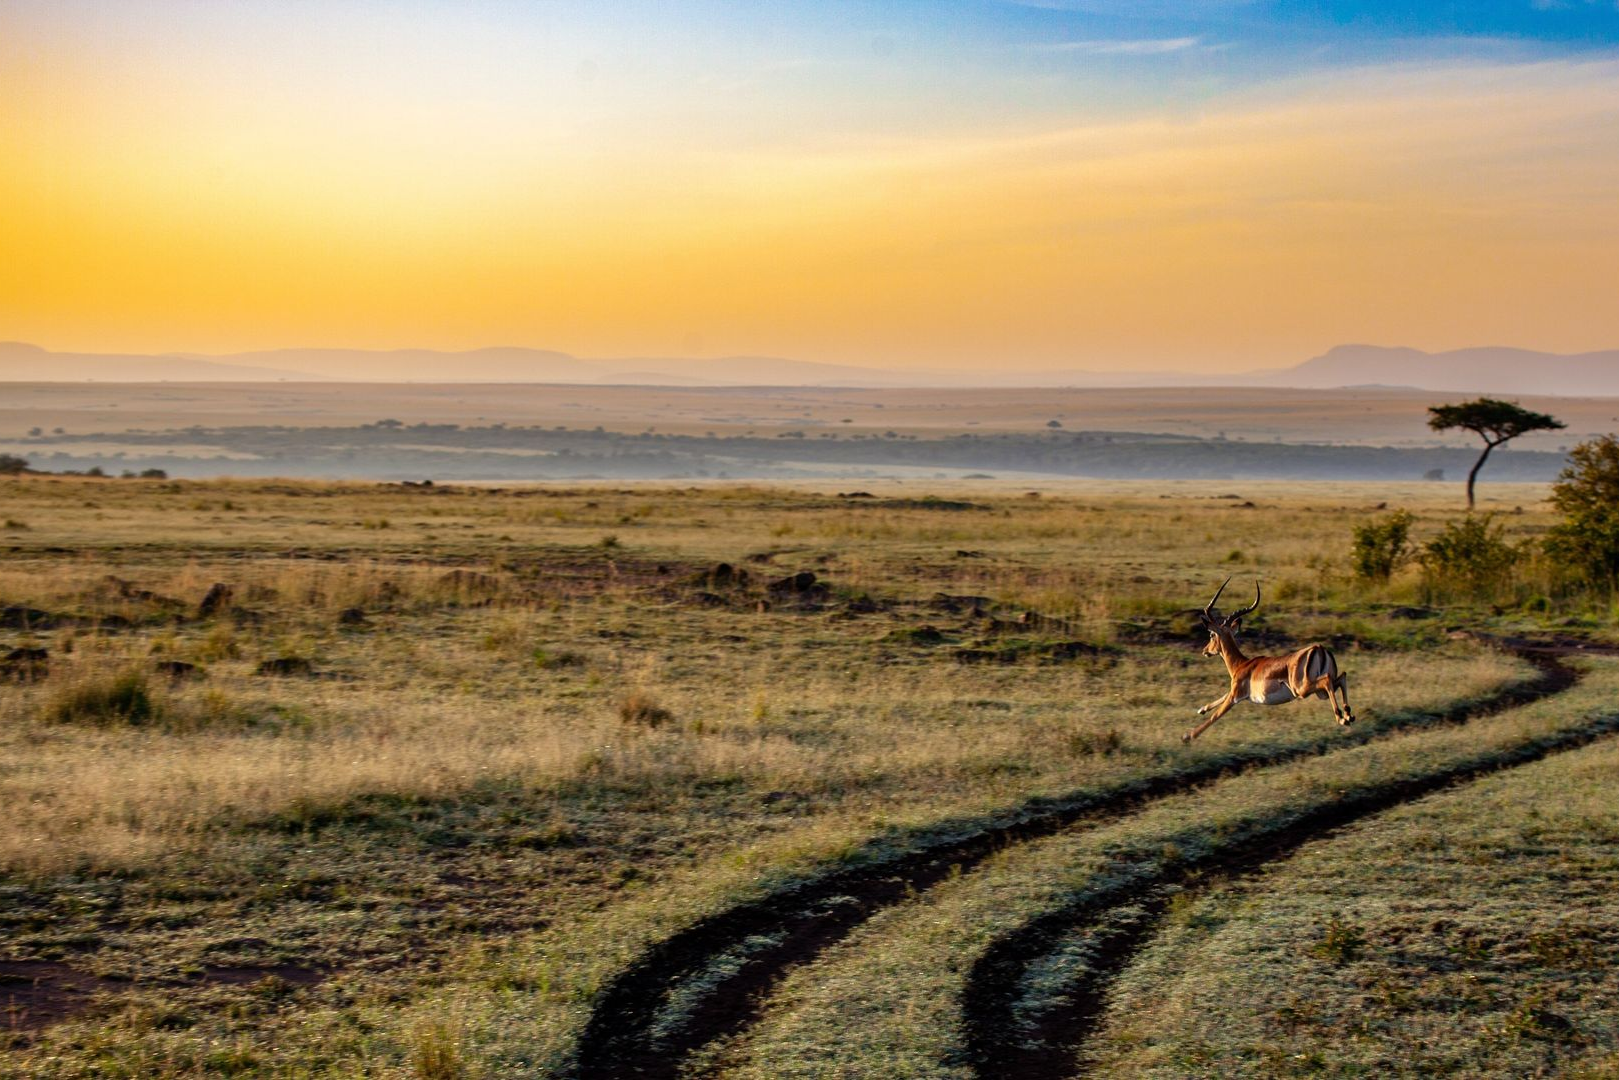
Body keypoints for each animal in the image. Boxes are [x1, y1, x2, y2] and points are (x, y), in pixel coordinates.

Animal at [1183, 577, 1353, 743]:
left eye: (1212, 635)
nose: (1205, 651)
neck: (1240, 665)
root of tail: (1319, 648)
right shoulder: (1234, 692)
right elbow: (1221, 697)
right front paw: (1202, 709)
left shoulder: (1235, 696)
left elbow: (1215, 716)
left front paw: (1187, 736)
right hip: (1319, 692)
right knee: (1341, 677)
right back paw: (1348, 715)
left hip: (1302, 689)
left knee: (1328, 680)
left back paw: (1342, 718)